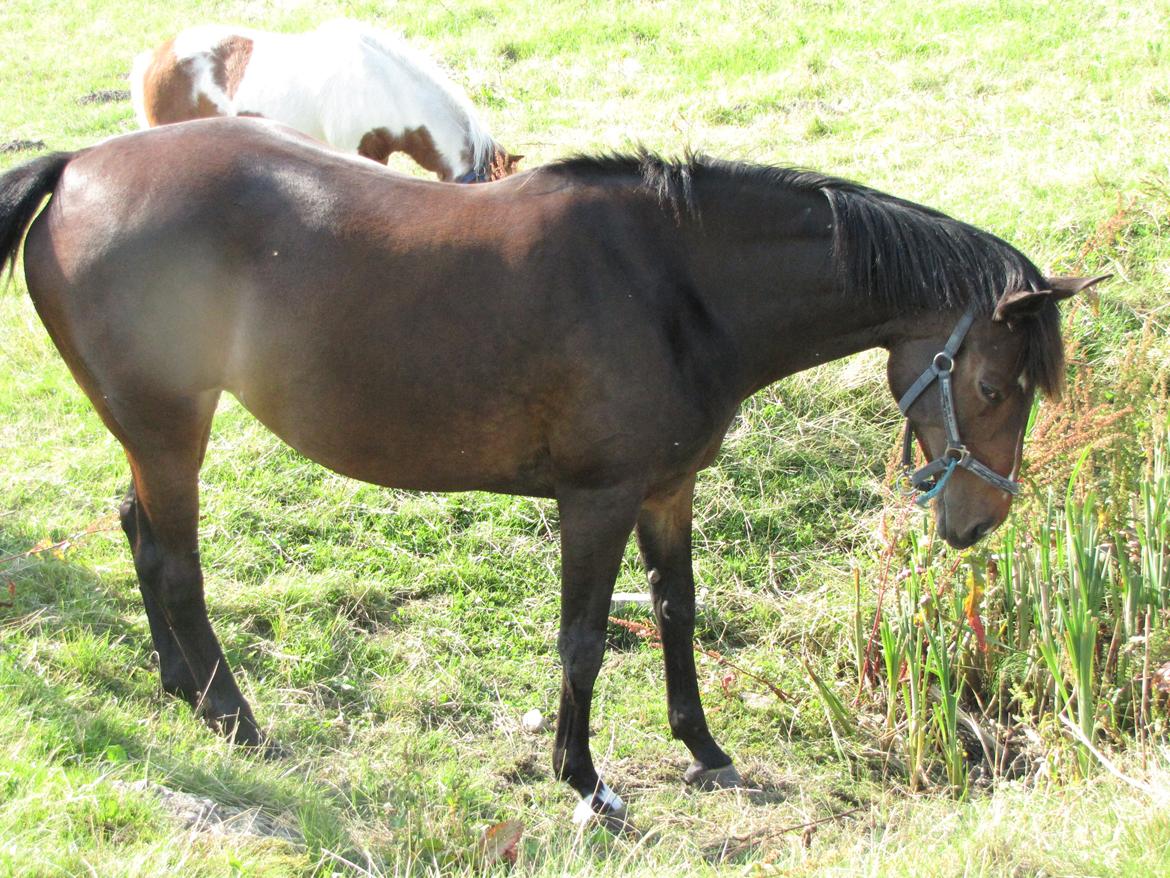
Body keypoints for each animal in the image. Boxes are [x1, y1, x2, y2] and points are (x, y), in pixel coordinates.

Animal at [0, 122, 1095, 833]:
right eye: (991, 383)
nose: (977, 523)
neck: (676, 285)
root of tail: (78, 163)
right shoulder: (595, 500)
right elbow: (583, 641)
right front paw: (586, 780)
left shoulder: (666, 490)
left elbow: (677, 610)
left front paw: (703, 749)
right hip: (170, 429)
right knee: (176, 564)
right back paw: (234, 716)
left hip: (150, 434)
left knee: (138, 533)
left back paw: (182, 689)